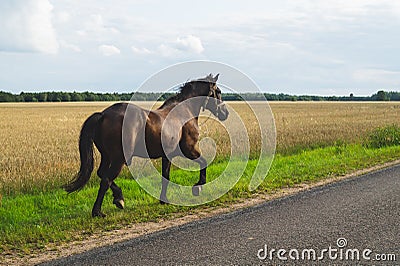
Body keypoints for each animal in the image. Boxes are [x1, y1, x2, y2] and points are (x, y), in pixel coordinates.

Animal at [64, 74, 230, 217]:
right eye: (219, 92)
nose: (225, 113)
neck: (184, 111)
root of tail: (103, 115)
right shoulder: (189, 150)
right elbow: (203, 162)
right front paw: (198, 187)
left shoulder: (167, 156)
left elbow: (166, 176)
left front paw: (163, 199)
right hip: (118, 159)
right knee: (106, 179)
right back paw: (99, 210)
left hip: (107, 156)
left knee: (102, 174)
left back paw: (118, 199)